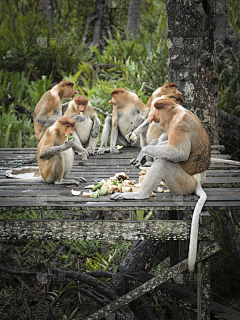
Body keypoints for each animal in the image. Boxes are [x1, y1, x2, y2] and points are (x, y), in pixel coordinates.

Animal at [111, 99, 211, 272]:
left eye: (157, 110)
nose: (152, 117)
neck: (176, 113)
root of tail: (198, 180)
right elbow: (165, 142)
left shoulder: (180, 126)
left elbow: (179, 152)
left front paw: (144, 151)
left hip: (184, 183)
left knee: (165, 162)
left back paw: (140, 193)